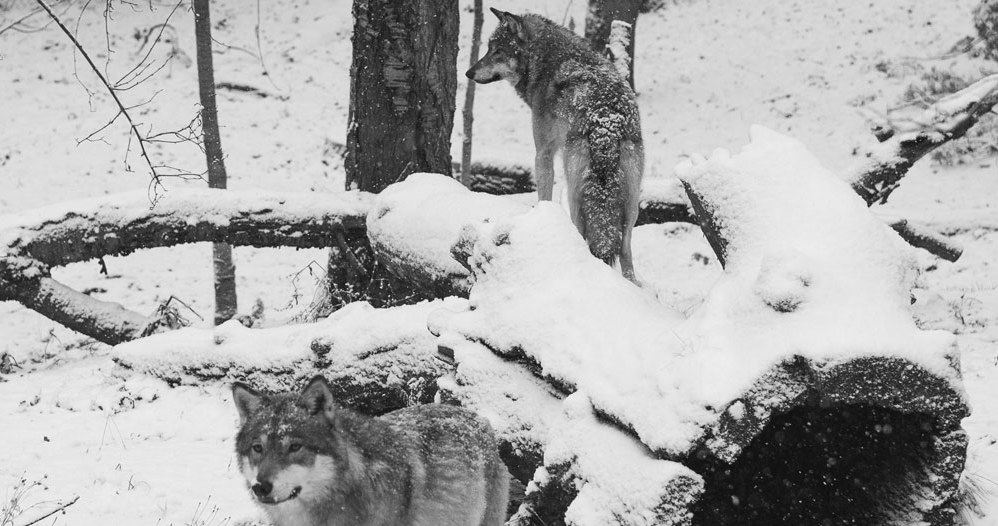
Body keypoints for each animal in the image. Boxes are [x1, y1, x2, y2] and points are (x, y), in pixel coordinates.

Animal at [470, 7, 648, 284]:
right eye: (489, 49)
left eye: (496, 51)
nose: (468, 73)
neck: (546, 61)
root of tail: (606, 123)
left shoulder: (543, 152)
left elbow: (543, 194)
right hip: (631, 203)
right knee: (625, 248)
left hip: (574, 187)